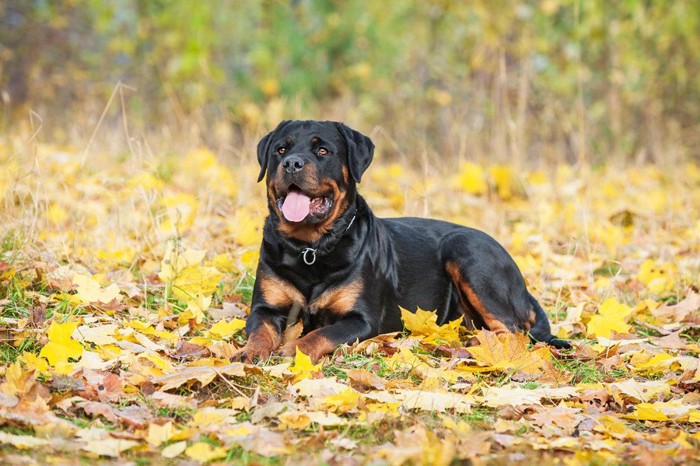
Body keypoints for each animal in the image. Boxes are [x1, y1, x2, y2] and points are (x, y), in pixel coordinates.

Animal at [235, 118, 568, 362]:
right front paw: (249, 352)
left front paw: (293, 348)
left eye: (323, 151)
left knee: (512, 331)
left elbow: (320, 334)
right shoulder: (265, 308)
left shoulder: (362, 319)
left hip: (467, 252)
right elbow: (260, 329)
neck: (311, 248)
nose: (291, 163)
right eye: (280, 150)